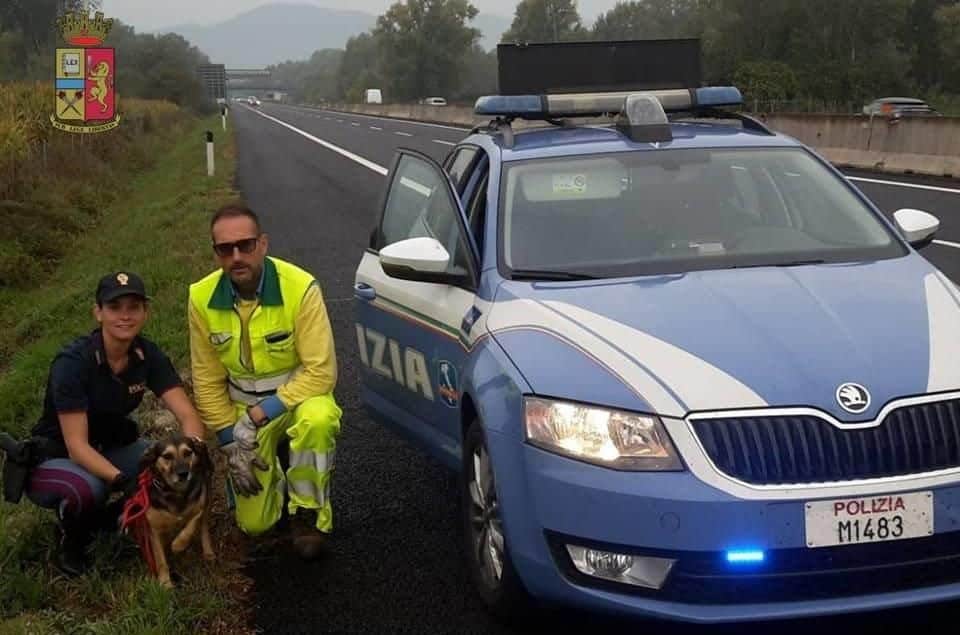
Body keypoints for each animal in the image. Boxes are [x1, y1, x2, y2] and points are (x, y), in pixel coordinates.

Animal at [139, 434, 214, 588]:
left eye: (188, 453)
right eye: (167, 456)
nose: (183, 474)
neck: (177, 494)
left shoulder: (200, 506)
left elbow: (191, 526)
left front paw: (178, 545)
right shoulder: (153, 530)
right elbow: (160, 560)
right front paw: (165, 584)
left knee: (204, 529)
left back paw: (208, 552)